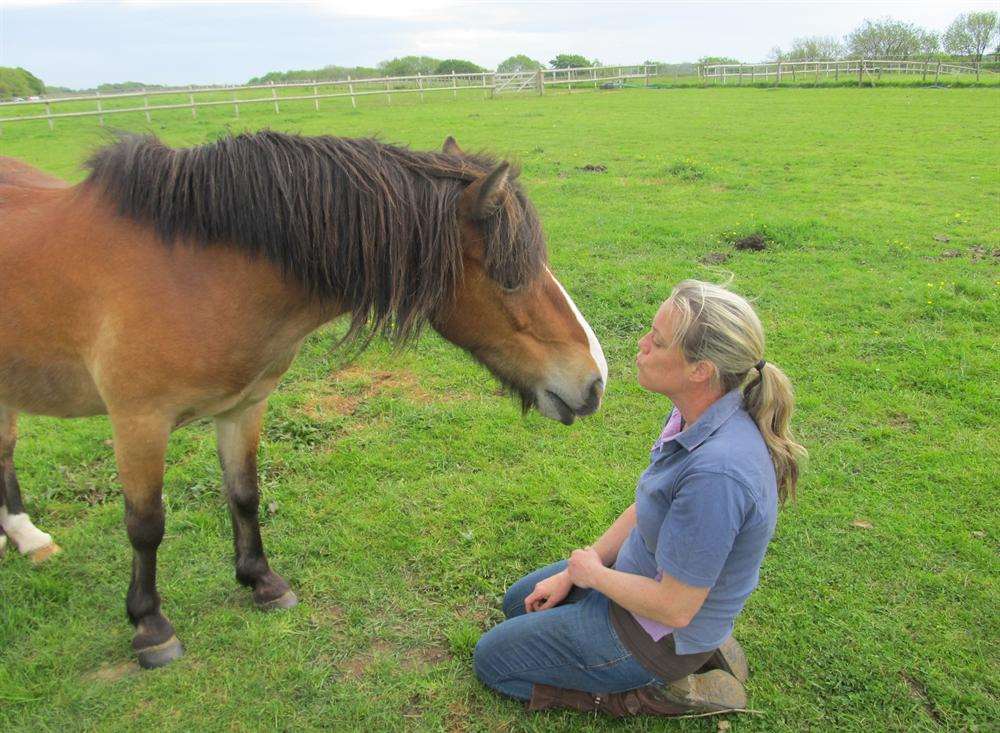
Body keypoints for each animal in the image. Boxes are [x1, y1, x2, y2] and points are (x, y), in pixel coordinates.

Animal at [0, 132, 604, 668]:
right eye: (509, 275)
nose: (596, 380)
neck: (194, 274)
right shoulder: (138, 420)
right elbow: (146, 524)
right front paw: (150, 626)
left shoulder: (243, 407)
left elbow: (243, 494)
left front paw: (262, 583)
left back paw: (25, 538)